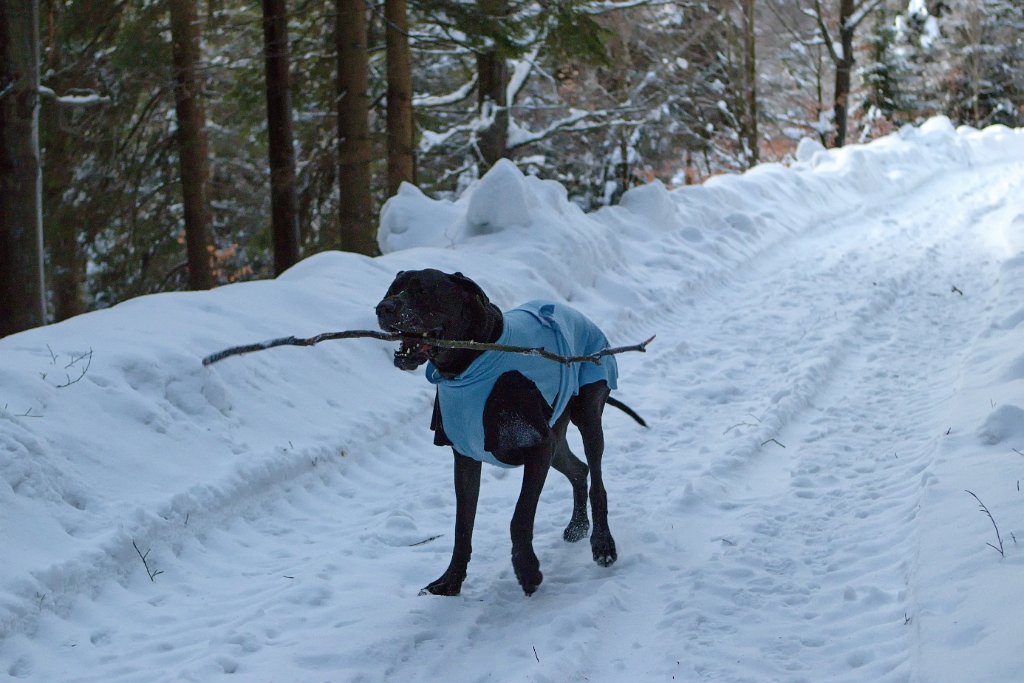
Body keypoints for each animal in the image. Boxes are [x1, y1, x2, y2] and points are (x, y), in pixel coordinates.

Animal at [380, 270, 643, 593]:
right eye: (393, 289)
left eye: (423, 291)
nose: (383, 308)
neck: (469, 366)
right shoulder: (466, 458)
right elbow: (462, 526)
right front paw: (451, 581)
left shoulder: (538, 448)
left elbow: (520, 517)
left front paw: (527, 570)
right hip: (557, 435)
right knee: (579, 469)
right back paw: (578, 525)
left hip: (587, 414)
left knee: (597, 481)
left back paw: (602, 543)